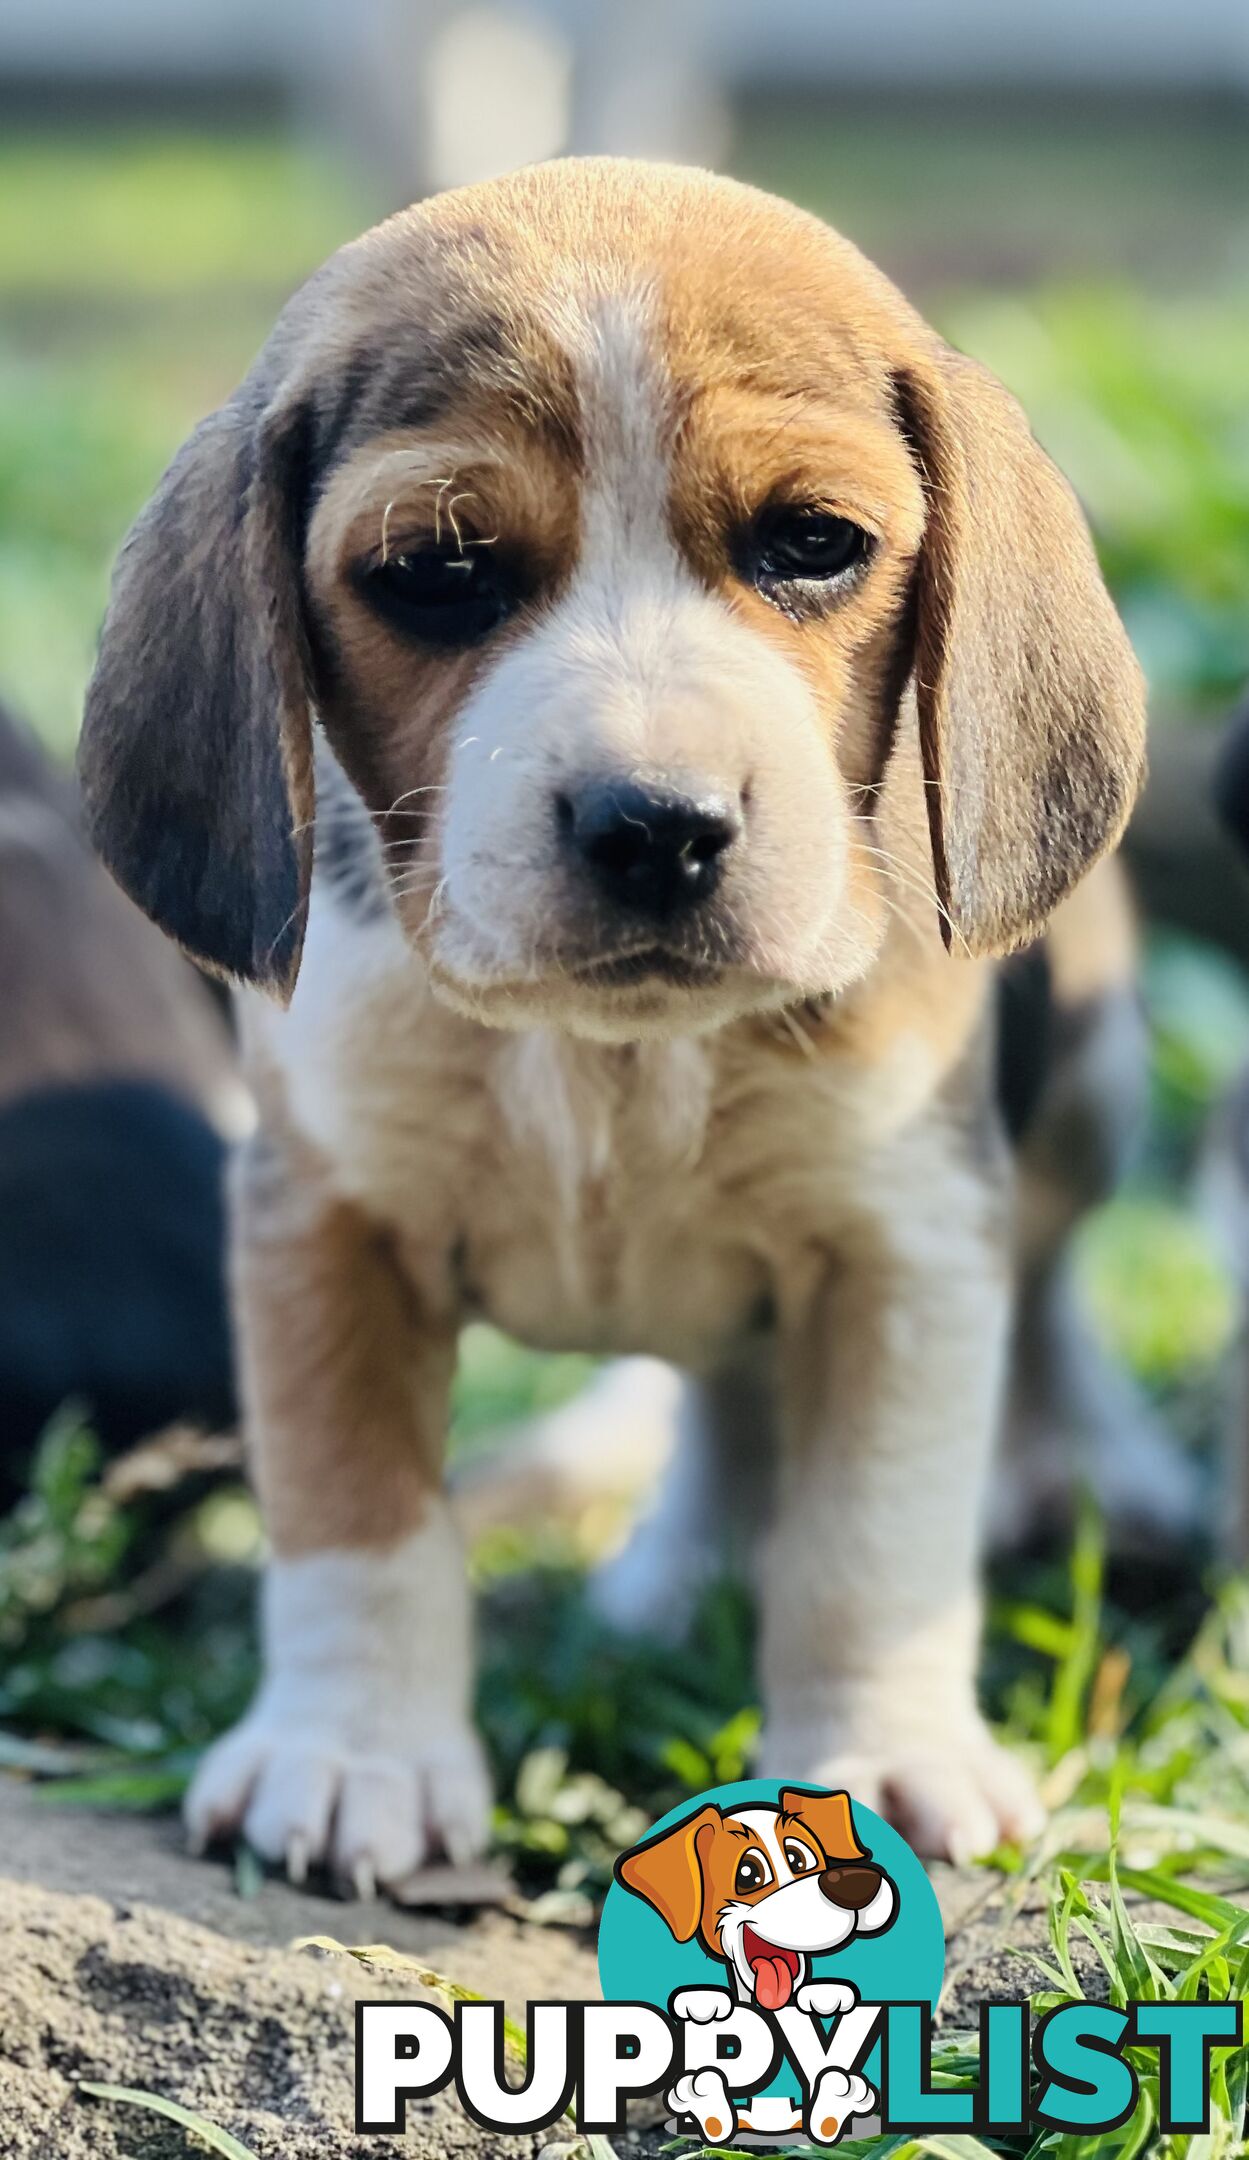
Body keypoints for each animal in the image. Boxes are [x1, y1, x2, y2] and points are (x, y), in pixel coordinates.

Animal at [77, 164, 1140, 1892]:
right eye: (437, 572)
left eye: (812, 545)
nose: (658, 826)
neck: (608, 1054)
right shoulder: (326, 1219)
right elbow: (352, 1509)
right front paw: (352, 1754)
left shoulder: (905, 1238)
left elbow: (870, 1531)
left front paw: (879, 1759)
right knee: (728, 1400)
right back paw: (683, 1566)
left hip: (1089, 1099)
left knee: (1042, 1299)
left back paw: (1102, 1468)